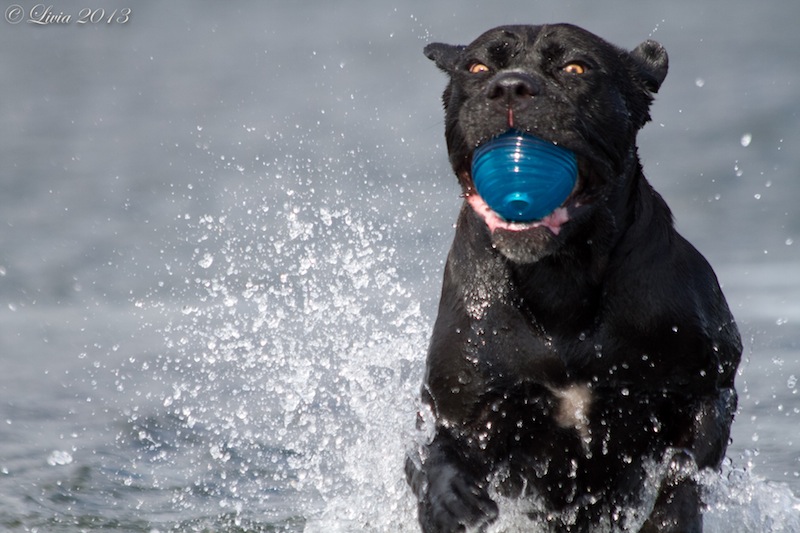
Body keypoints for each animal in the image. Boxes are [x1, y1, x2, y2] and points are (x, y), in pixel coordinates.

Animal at [406, 24, 742, 532]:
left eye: (575, 68)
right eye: (478, 67)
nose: (510, 86)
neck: (559, 278)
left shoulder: (708, 385)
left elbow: (685, 469)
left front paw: (670, 516)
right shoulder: (456, 409)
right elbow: (433, 455)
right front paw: (449, 499)